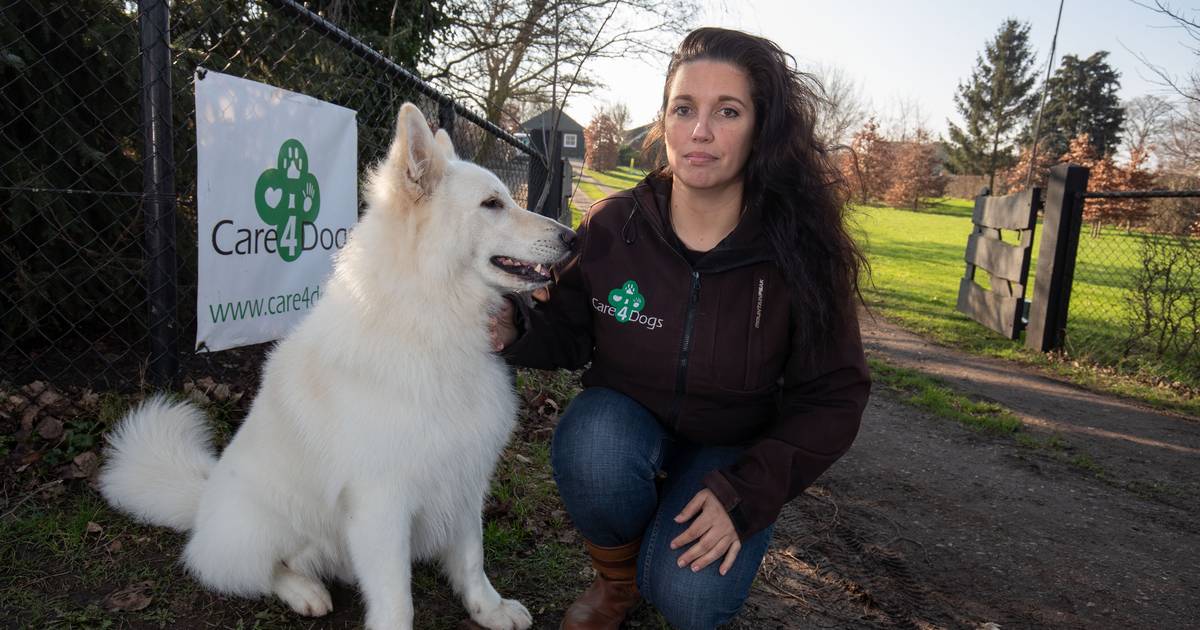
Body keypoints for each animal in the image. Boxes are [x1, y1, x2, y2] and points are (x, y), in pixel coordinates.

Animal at [98, 103, 576, 628]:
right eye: (492, 204)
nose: (573, 237)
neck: (428, 318)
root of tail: (203, 502)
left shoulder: (464, 477)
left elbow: (472, 558)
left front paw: (487, 609)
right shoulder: (381, 502)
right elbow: (397, 598)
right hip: (264, 527)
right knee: (253, 569)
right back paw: (304, 591)